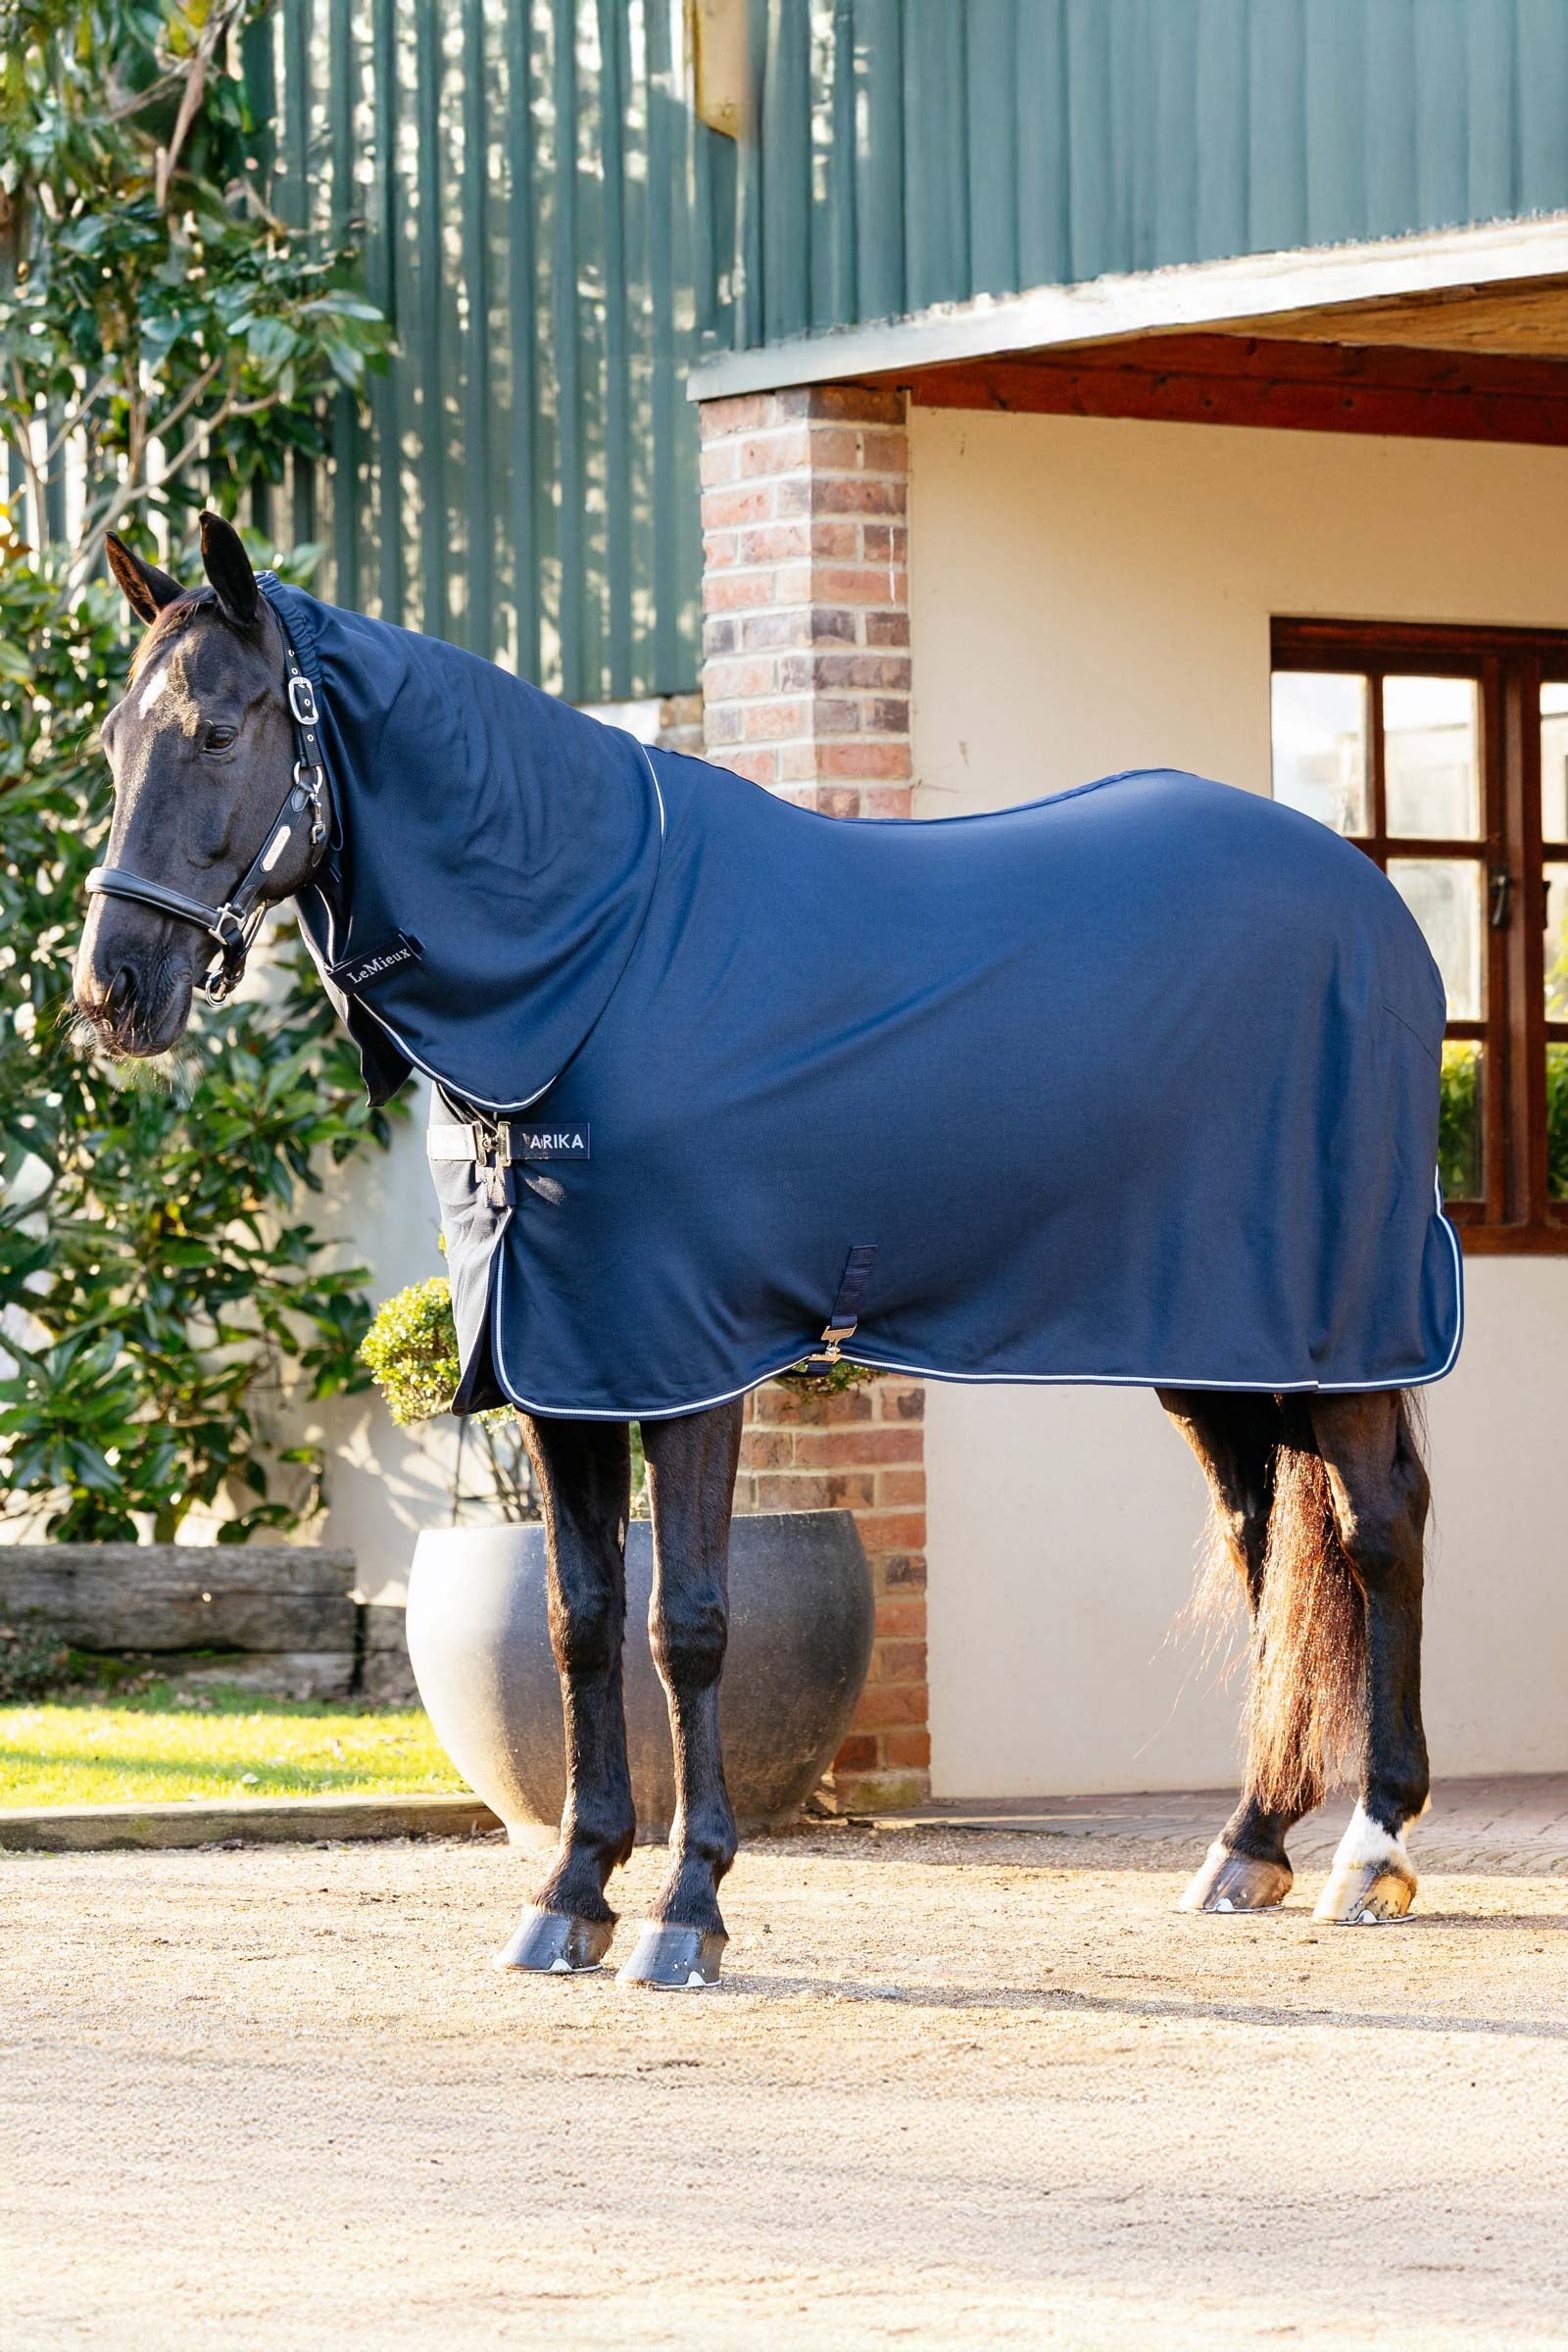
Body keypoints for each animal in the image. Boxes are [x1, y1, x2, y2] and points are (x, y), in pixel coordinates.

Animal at [74, 513, 1444, 1987]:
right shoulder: (564, 1369)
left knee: (1375, 1532)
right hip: (1216, 1345)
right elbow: (580, 1621)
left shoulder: (683, 1360)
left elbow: (687, 1625)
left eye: (218, 731)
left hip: (1346, 1331)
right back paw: (1249, 1842)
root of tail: (1372, 904)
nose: (113, 991)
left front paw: (687, 1910)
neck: (600, 963)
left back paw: (1370, 1850)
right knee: (1265, 1545)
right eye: (109, 740)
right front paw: (570, 1893)